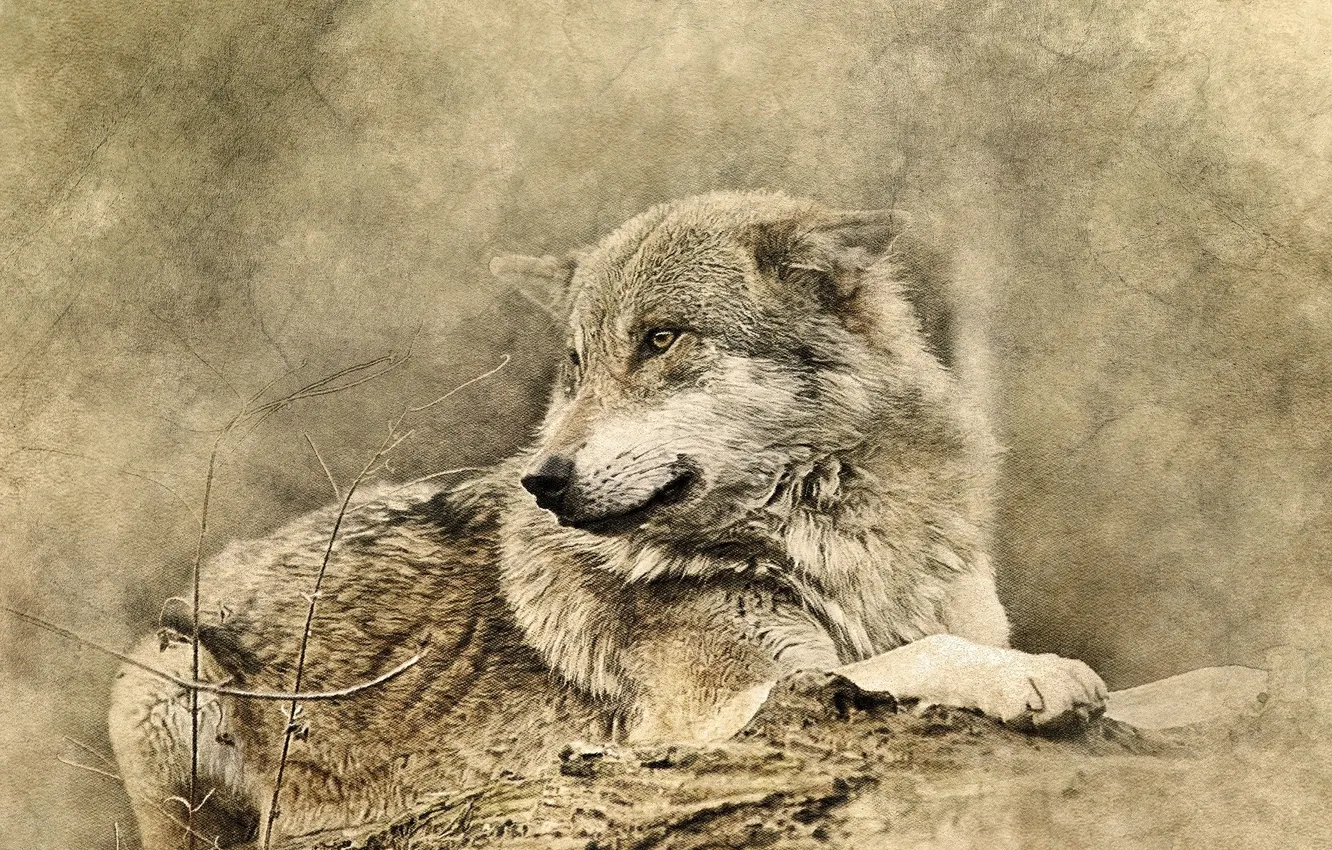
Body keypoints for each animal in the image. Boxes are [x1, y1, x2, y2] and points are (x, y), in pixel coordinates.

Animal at [108, 191, 1108, 848]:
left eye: (661, 339)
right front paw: (1038, 675)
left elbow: (936, 641)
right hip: (171, 680)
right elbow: (920, 656)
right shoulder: (722, 712)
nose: (541, 481)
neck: (833, 534)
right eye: (578, 364)